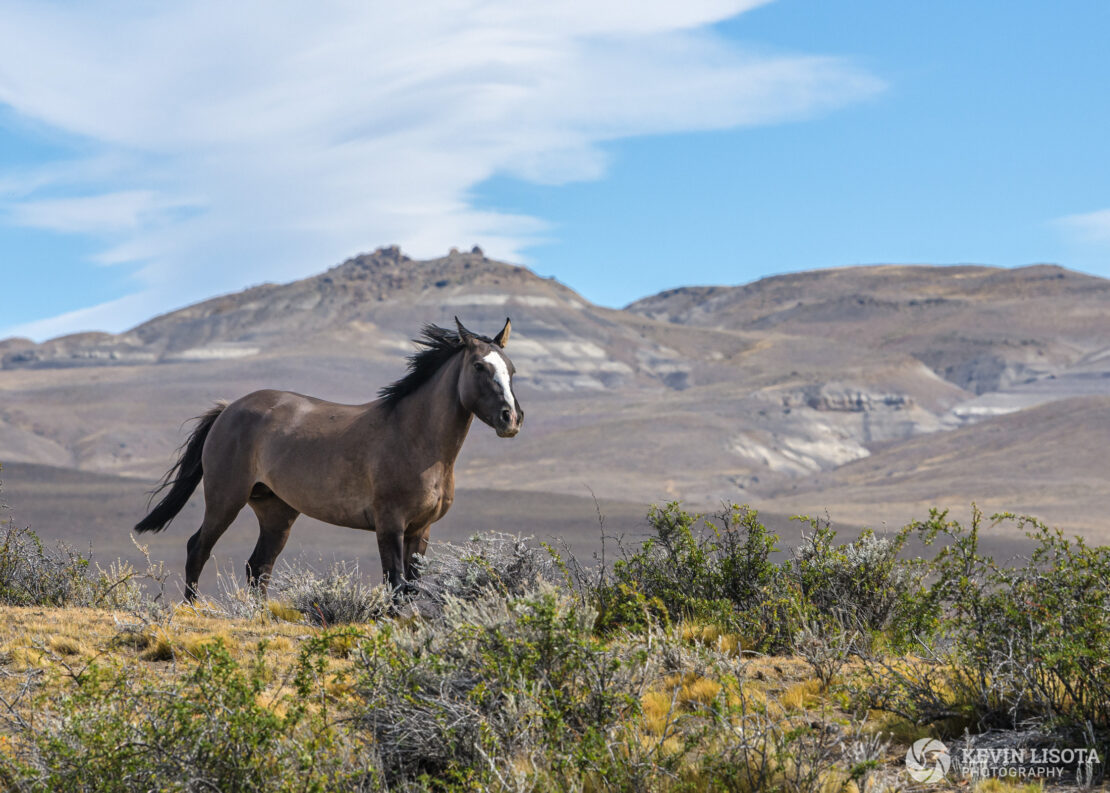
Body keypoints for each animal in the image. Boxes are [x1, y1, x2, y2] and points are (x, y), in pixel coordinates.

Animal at [134, 317, 523, 599]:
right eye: (479, 367)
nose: (511, 418)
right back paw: (193, 610)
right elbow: (394, 585)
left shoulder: (420, 530)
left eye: (511, 369)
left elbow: (410, 588)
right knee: (198, 549)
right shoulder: (390, 525)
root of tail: (228, 409)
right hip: (225, 499)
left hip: (276, 512)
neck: (415, 437)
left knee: (258, 567)